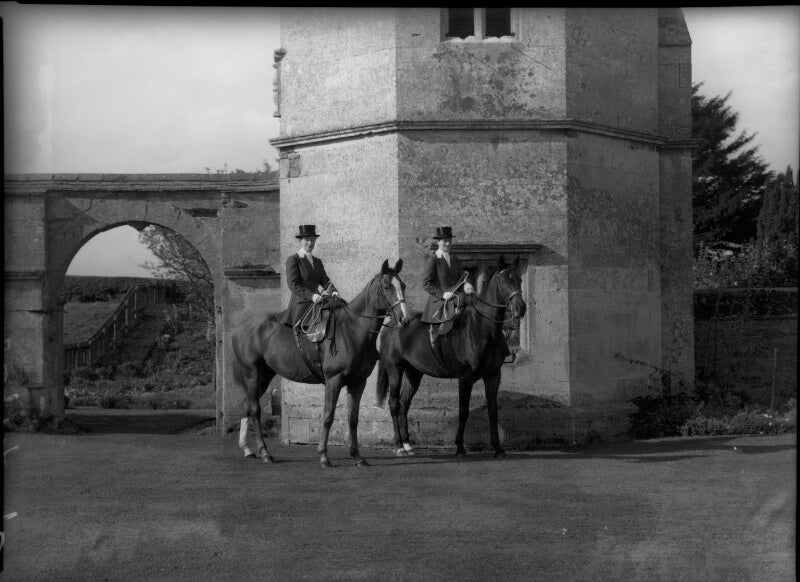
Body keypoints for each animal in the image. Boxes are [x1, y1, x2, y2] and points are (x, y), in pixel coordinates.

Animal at [232, 259, 407, 468]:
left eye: (403, 285)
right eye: (387, 286)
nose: (404, 319)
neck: (352, 331)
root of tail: (241, 328)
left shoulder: (358, 382)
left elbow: (353, 418)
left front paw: (357, 455)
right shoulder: (333, 380)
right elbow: (328, 416)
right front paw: (324, 456)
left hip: (264, 375)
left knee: (247, 405)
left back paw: (247, 449)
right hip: (253, 374)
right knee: (255, 410)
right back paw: (265, 453)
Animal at [376, 256, 526, 459]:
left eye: (519, 279)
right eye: (502, 280)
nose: (520, 308)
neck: (484, 329)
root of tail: (394, 322)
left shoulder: (493, 375)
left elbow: (493, 411)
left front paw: (498, 448)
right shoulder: (465, 378)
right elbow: (463, 411)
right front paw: (460, 447)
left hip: (413, 373)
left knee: (404, 403)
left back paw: (408, 444)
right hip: (395, 369)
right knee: (393, 403)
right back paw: (399, 445)